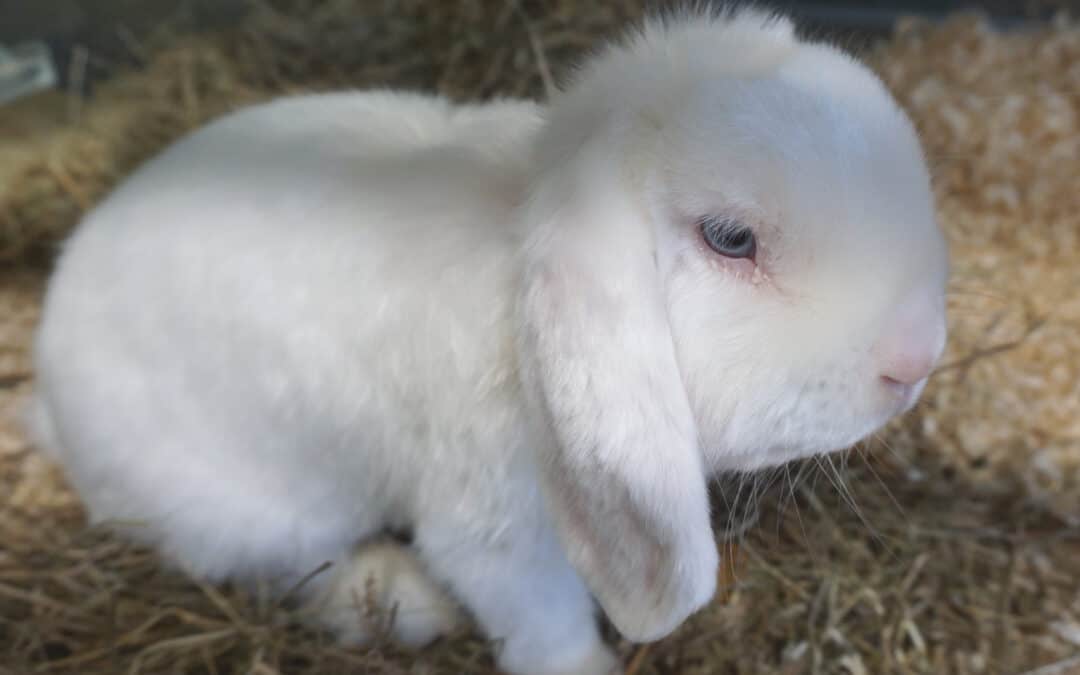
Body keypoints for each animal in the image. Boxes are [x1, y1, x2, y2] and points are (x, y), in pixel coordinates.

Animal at [29, 5, 950, 673]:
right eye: (730, 239)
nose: (917, 357)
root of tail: (49, 393)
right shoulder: (494, 532)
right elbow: (540, 620)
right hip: (250, 512)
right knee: (287, 568)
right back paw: (404, 602)